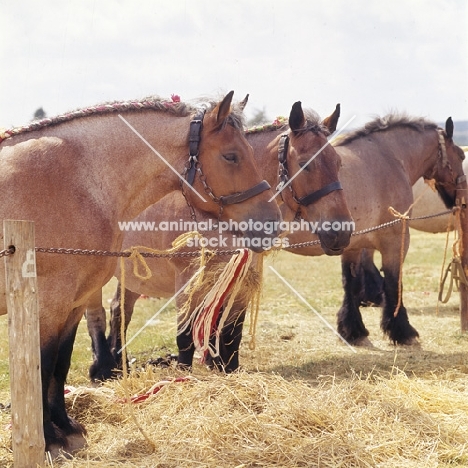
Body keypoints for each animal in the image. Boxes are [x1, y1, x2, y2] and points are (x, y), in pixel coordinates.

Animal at [0, 89, 282, 456]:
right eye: (231, 156)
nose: (271, 222)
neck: (75, 183)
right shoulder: (48, 304)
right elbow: (43, 365)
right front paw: (48, 440)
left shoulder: (73, 304)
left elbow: (60, 365)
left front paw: (67, 428)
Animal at [86, 102, 352, 380]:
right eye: (304, 164)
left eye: (338, 163)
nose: (341, 231)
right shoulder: (188, 279)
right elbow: (185, 336)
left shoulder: (241, 278)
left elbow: (231, 332)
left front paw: (226, 368)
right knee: (97, 313)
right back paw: (102, 367)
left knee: (120, 310)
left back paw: (119, 364)